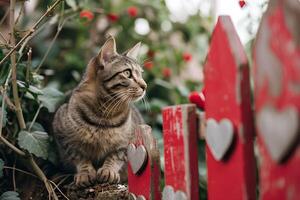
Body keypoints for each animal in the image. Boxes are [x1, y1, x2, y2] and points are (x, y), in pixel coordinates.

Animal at [54, 36, 148, 188]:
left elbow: (116, 155)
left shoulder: (127, 143)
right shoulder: (63, 136)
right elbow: (79, 156)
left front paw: (109, 170)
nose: (145, 85)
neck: (105, 113)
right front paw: (85, 172)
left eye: (141, 74)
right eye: (127, 73)